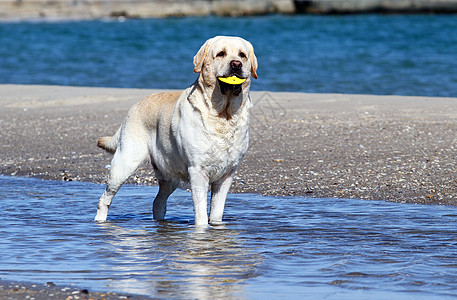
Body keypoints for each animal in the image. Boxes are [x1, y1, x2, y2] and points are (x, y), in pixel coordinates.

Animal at [93, 35, 256, 225]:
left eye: (242, 55)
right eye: (221, 53)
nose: (236, 64)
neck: (223, 115)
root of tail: (134, 106)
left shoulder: (227, 175)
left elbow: (216, 213)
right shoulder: (197, 171)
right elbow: (201, 213)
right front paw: (201, 229)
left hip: (170, 175)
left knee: (158, 201)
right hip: (124, 164)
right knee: (105, 198)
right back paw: (100, 221)